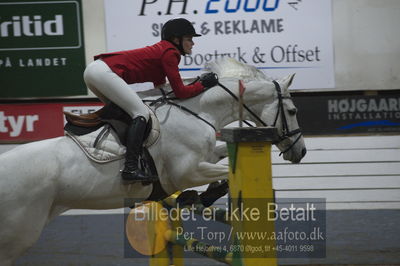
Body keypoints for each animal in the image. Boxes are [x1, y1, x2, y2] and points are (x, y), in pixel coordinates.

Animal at [0, 58, 306, 264]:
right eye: (292, 110)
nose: (300, 152)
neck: (199, 111)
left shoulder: (201, 159)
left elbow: (220, 156)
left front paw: (196, 197)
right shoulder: (187, 172)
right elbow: (222, 175)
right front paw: (204, 196)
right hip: (18, 234)